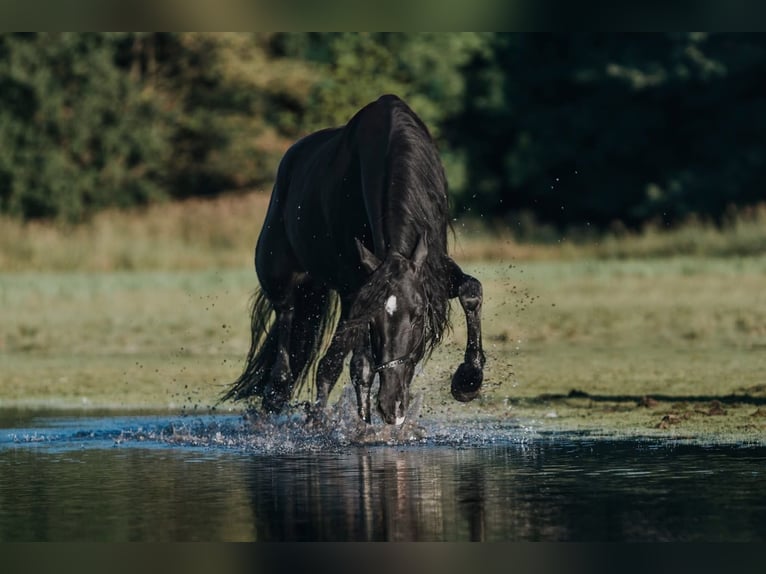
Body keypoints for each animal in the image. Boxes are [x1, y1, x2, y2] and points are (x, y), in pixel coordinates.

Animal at [223, 94, 485, 425]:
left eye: (417, 315)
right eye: (375, 321)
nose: (392, 406)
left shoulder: (432, 268)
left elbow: (471, 291)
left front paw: (468, 381)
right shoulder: (358, 292)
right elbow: (360, 366)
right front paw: (361, 427)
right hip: (284, 278)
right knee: (288, 332)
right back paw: (290, 403)